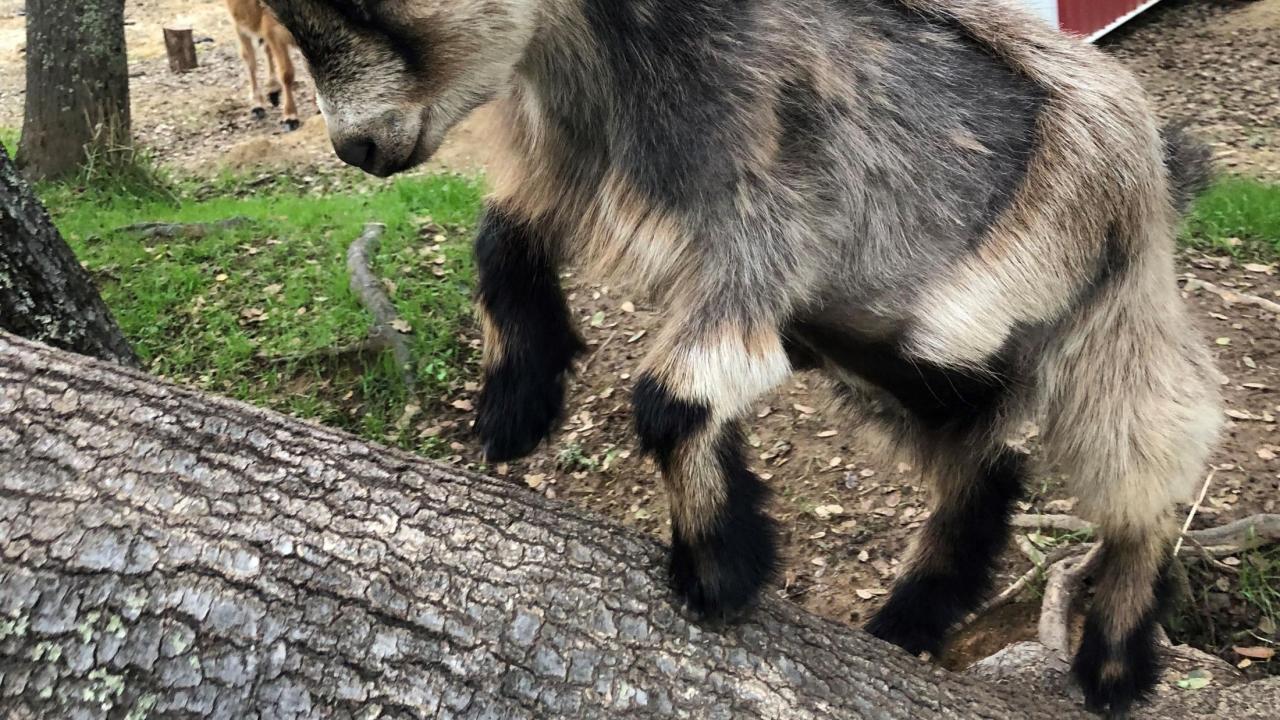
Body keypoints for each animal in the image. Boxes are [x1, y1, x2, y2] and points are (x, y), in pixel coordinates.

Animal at [262, 0, 1218, 707]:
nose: (357, 148)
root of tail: (1162, 162)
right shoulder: (575, 170)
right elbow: (502, 239)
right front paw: (514, 406)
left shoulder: (771, 223)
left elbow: (673, 395)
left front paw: (719, 568)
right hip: (886, 358)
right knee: (979, 455)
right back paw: (912, 616)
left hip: (1105, 317)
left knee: (1152, 465)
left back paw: (1115, 657)